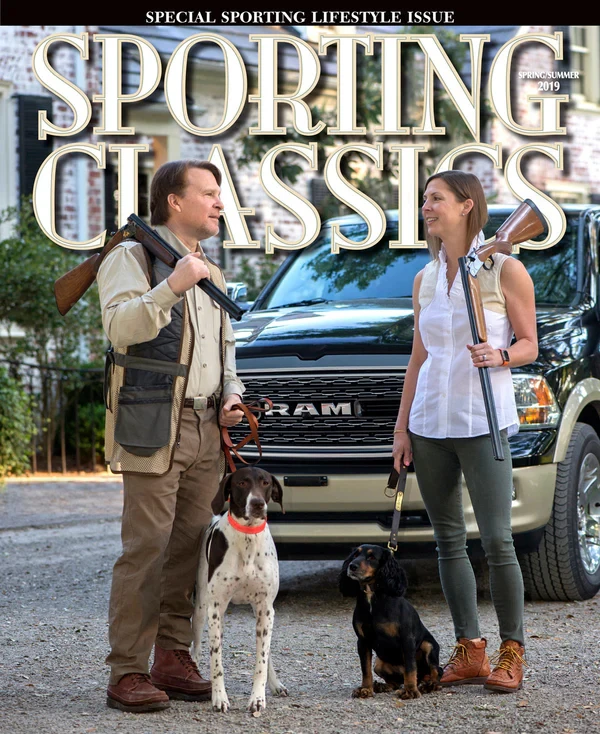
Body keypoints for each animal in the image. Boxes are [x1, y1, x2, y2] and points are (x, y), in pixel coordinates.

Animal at [191, 468, 288, 716]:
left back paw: (276, 684)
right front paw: (219, 698)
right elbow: (216, 661)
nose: (257, 503)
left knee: (266, 652)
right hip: (202, 607)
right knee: (196, 646)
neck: (248, 536)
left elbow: (261, 660)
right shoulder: (215, 610)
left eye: (265, 483)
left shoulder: (266, 609)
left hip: (262, 615)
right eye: (242, 483)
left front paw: (258, 699)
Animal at [340, 548, 442, 700]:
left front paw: (410, 691)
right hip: (379, 663)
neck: (372, 597)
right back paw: (381, 686)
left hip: (428, 646)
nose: (352, 566)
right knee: (395, 681)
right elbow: (365, 669)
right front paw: (366, 689)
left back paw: (429, 686)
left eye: (371, 557)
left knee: (436, 671)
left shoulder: (407, 639)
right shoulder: (363, 641)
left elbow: (410, 668)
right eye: (355, 554)